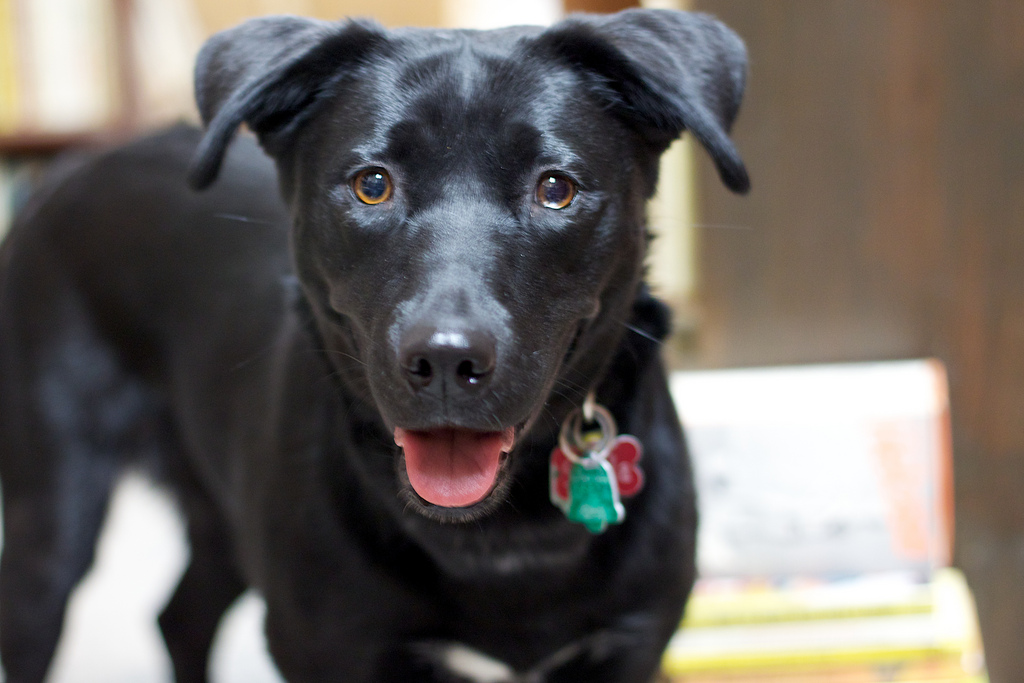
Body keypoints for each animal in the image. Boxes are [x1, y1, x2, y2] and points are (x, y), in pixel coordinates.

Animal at [2, 10, 753, 683]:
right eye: (372, 184)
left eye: (555, 189)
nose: (447, 360)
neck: (498, 538)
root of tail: (66, 173)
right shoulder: (328, 645)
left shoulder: (633, 644)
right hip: (53, 522)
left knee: (180, 616)